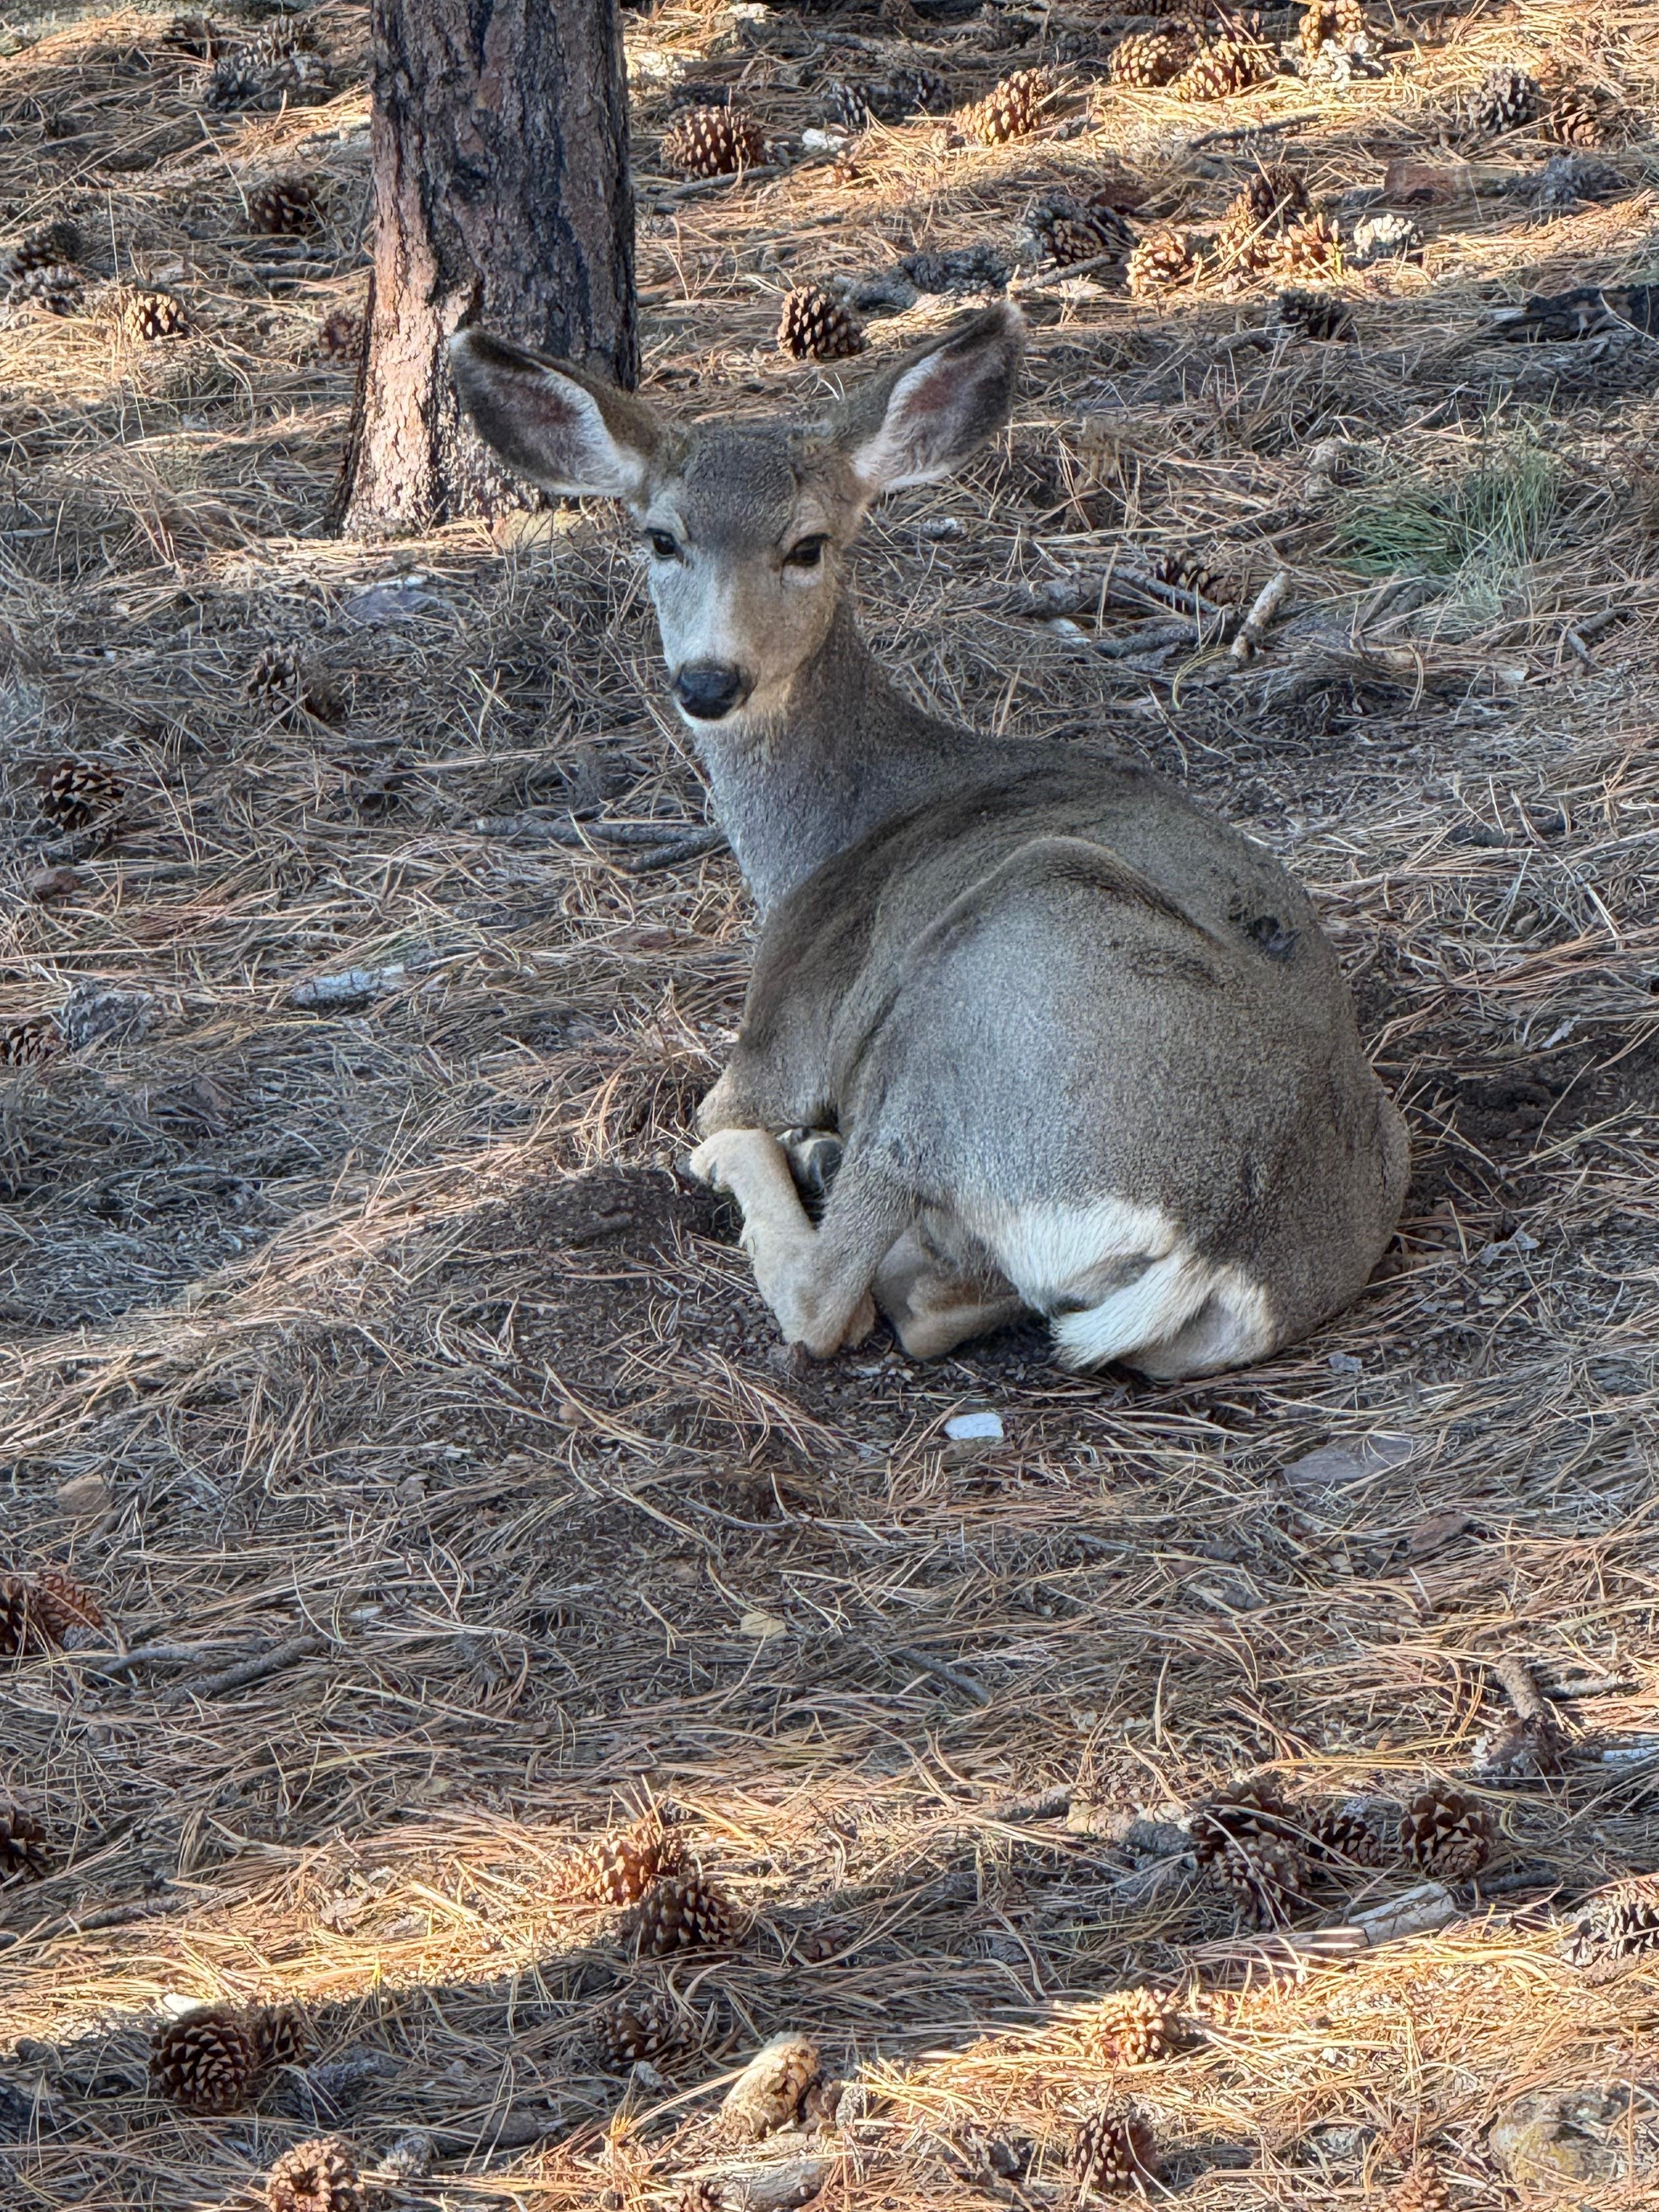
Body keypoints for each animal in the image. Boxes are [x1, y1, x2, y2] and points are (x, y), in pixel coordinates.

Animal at [450, 304, 1408, 1378]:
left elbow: (726, 1116)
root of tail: (1219, 1236)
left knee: (837, 1295)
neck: (829, 833)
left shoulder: (781, 1035)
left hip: (973, 997)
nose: (708, 681)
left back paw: (802, 1168)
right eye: (661, 538)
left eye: (808, 544)